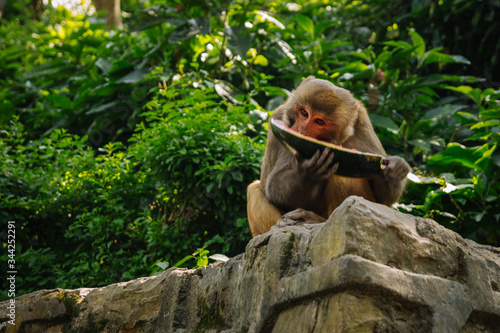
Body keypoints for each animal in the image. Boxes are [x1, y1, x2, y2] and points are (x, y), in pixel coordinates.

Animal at [246, 76, 410, 236]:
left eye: (319, 121)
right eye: (304, 113)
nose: (301, 130)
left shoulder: (363, 127)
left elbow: (382, 202)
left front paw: (395, 171)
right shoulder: (279, 116)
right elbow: (273, 185)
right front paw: (308, 174)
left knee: (344, 177)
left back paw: (315, 220)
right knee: (253, 189)